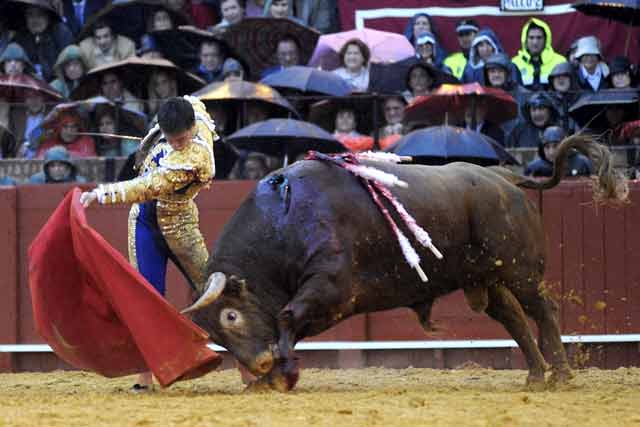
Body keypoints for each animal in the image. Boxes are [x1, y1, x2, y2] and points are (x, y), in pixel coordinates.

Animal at [185, 136, 624, 392]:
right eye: (216, 333)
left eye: (230, 317)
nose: (258, 364)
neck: (284, 220)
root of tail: (504, 178)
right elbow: (287, 322)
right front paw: (273, 375)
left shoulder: (331, 285)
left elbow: (287, 317)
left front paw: (281, 374)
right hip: (488, 278)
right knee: (514, 318)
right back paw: (535, 377)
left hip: (521, 271)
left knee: (543, 310)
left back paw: (561, 375)